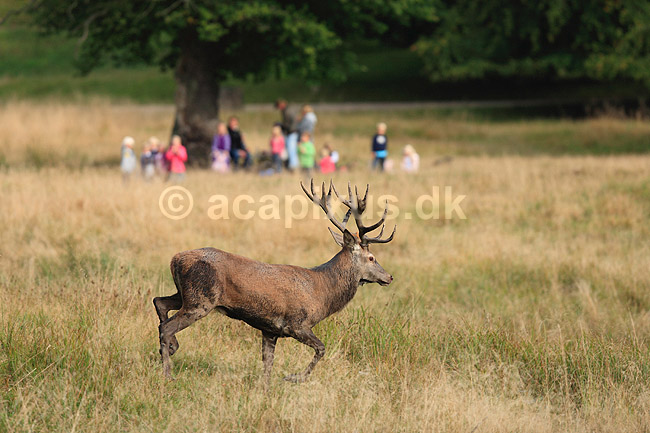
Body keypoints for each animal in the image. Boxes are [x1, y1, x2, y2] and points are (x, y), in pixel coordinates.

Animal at [153, 179, 396, 383]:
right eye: (371, 257)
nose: (389, 277)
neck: (322, 293)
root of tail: (175, 259)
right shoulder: (297, 323)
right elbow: (321, 349)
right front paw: (294, 378)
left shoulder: (269, 329)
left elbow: (267, 364)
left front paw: (266, 389)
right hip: (201, 299)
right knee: (167, 326)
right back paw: (168, 374)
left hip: (186, 294)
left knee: (160, 302)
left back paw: (171, 348)